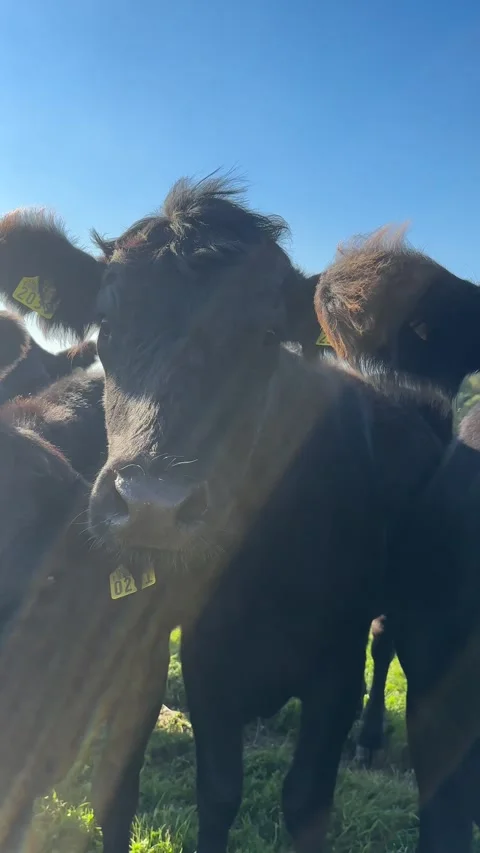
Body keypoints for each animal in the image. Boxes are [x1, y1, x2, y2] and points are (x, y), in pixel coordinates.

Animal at [0, 177, 455, 852]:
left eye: (267, 336)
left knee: (386, 645)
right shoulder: (200, 653)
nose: (152, 505)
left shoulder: (335, 663)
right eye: (107, 320)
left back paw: (370, 738)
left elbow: (306, 801)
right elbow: (217, 792)